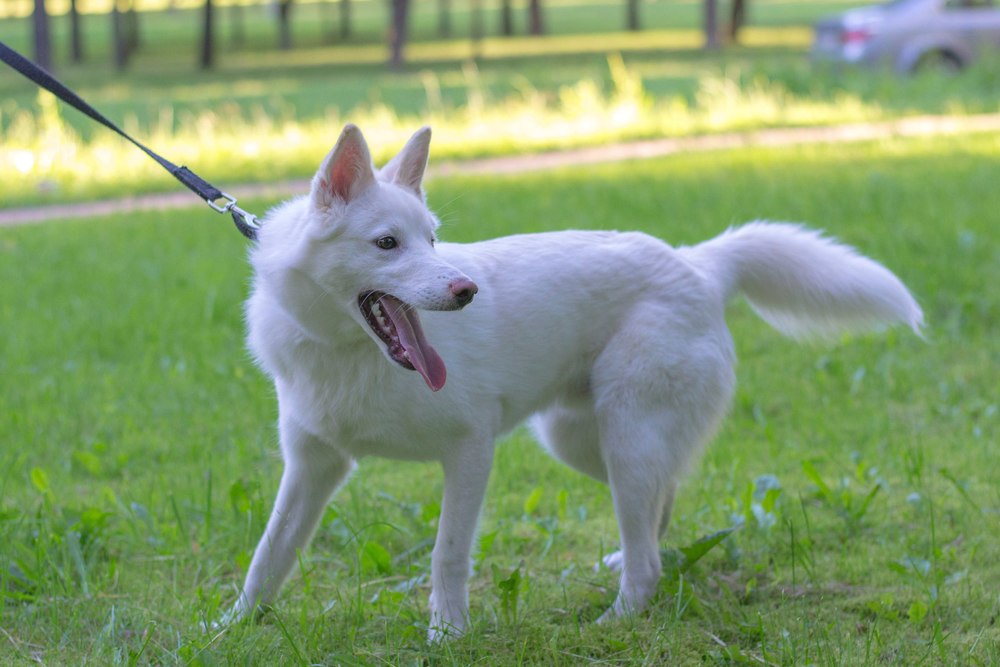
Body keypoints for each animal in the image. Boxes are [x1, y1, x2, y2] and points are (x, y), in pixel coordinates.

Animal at [227, 122, 920, 640]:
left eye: (432, 239)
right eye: (387, 243)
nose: (467, 291)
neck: (346, 351)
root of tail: (698, 264)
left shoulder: (470, 452)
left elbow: (447, 554)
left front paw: (448, 635)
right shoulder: (313, 466)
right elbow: (267, 555)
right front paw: (230, 630)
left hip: (623, 440)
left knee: (648, 561)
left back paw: (616, 620)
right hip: (583, 441)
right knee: (662, 506)